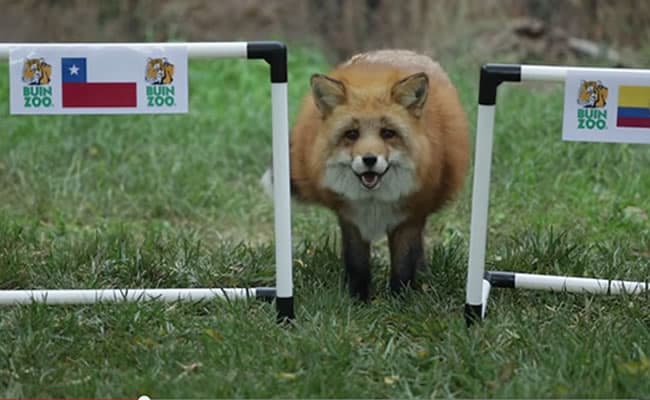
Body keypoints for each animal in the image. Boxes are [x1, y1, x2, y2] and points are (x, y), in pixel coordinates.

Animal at [263, 49, 469, 301]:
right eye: (352, 134)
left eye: (388, 133)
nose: (369, 159)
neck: (374, 202)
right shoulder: (351, 218)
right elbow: (357, 264)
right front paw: (357, 299)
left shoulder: (408, 218)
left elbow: (403, 265)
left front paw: (399, 300)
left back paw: (423, 275)